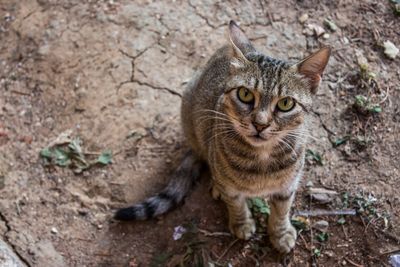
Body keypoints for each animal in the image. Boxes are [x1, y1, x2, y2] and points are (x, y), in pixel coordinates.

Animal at [115, 19, 332, 254]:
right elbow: (236, 204)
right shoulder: (231, 188)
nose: (260, 124)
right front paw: (241, 223)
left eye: (286, 104)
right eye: (245, 94)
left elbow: (281, 210)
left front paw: (280, 233)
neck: (262, 159)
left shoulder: (287, 187)